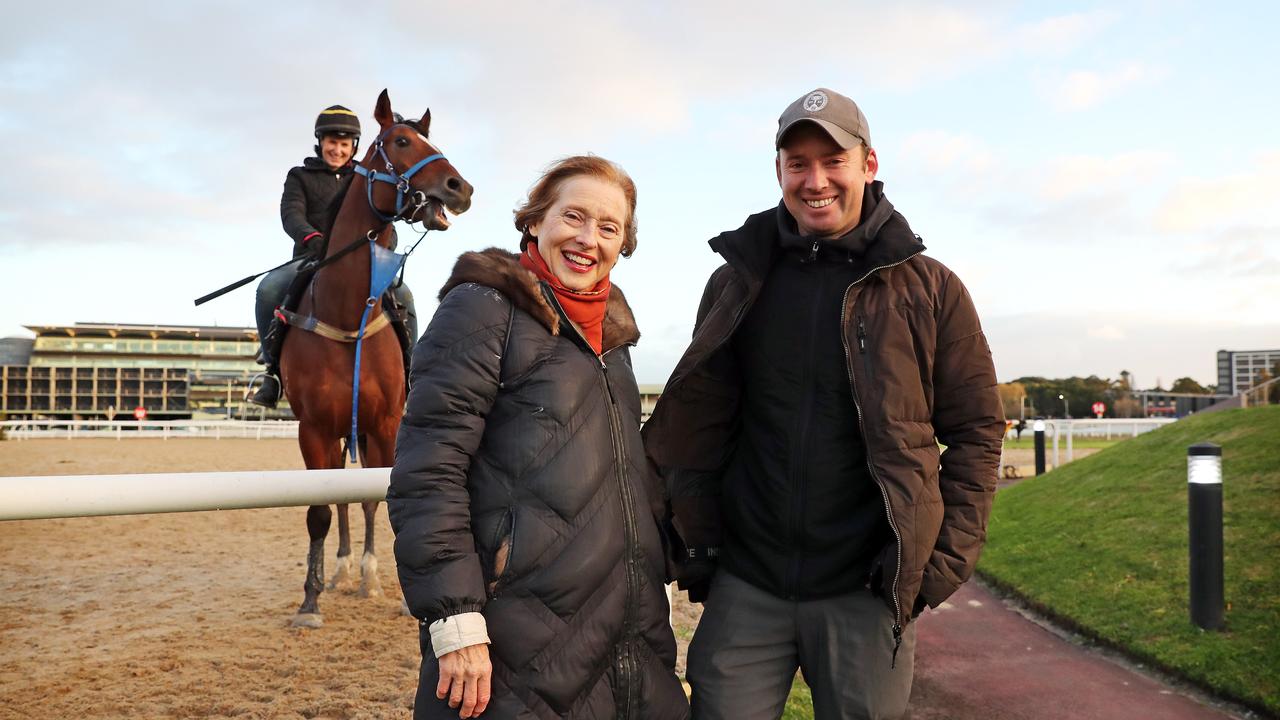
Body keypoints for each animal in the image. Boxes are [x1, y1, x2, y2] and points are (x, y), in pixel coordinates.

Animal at [280, 88, 476, 627]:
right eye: (401, 141)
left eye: (435, 141)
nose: (460, 187)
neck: (348, 317)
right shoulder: (313, 430)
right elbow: (320, 512)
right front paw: (310, 600)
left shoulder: (387, 423)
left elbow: (379, 500)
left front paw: (382, 582)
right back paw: (340, 570)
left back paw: (361, 573)